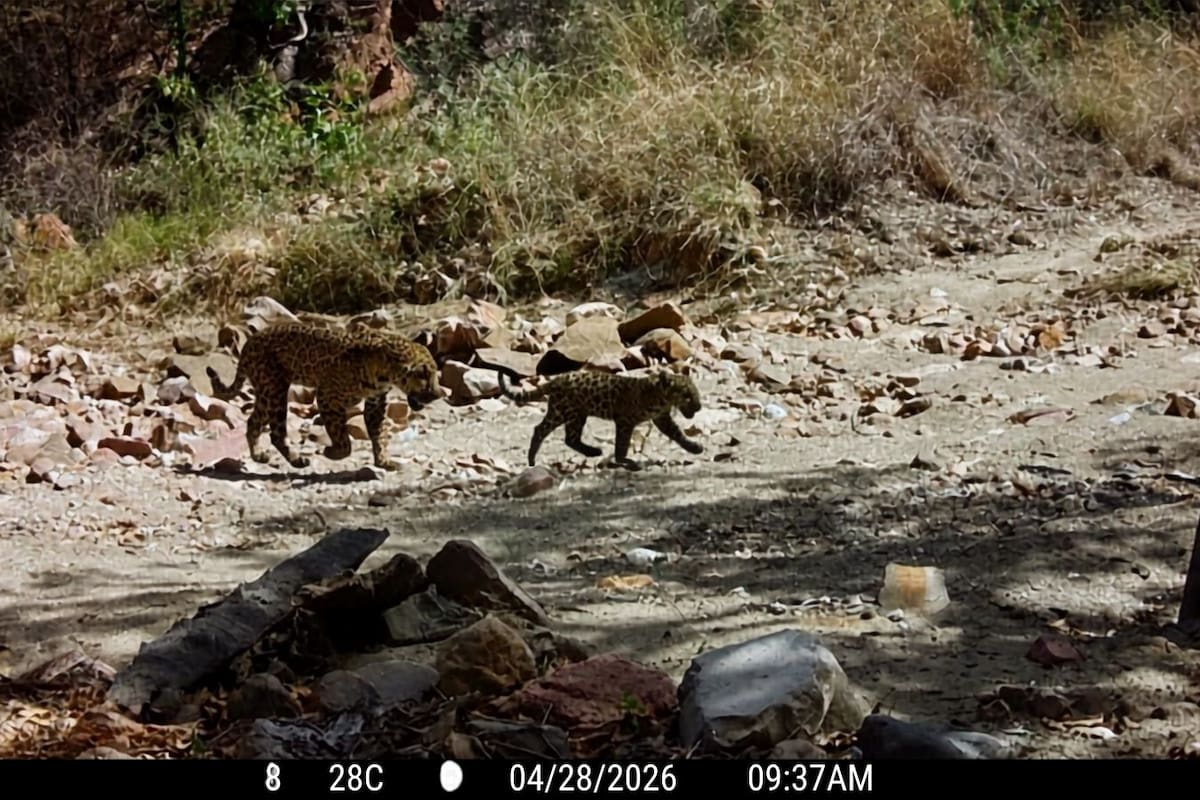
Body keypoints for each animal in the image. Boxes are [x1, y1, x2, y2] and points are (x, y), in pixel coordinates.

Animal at [206, 321, 443, 471]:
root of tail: (249, 343)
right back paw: (297, 460)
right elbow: (343, 438)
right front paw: (332, 452)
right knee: (276, 433)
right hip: (275, 390)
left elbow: (380, 433)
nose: (438, 393)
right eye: (425, 375)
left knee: (253, 422)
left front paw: (383, 460)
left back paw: (258, 455)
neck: (387, 371)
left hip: (266, 392)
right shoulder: (328, 397)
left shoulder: (375, 403)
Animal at [494, 366, 705, 470]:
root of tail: (555, 380)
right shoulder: (625, 421)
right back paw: (531, 459)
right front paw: (625, 461)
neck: (660, 397)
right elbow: (622, 443)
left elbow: (677, 434)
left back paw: (593, 451)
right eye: (686, 395)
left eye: (695, 391)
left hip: (577, 415)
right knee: (541, 429)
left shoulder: (662, 418)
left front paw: (694, 447)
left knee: (571, 438)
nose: (699, 407)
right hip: (562, 411)